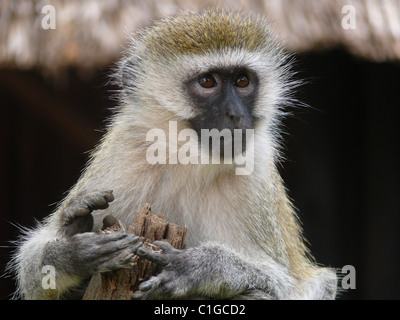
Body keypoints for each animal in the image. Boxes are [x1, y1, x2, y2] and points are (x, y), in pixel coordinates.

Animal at [7, 9, 336, 300]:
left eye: (242, 81)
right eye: (207, 82)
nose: (236, 115)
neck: (187, 159)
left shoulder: (254, 177)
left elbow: (282, 283)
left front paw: (198, 267)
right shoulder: (124, 154)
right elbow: (34, 274)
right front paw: (70, 245)